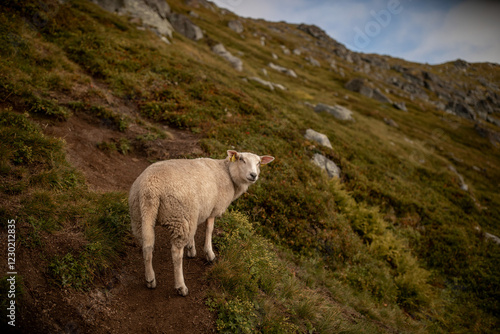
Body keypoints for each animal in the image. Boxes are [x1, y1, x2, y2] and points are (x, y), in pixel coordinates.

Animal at [128, 150, 274, 296]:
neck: (227, 172)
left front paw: (191, 248)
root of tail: (151, 188)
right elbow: (209, 229)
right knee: (176, 253)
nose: (253, 175)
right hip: (180, 215)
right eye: (241, 159)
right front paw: (209, 253)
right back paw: (181, 286)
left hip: (140, 215)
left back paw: (150, 279)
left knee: (147, 246)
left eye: (258, 163)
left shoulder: (197, 211)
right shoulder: (212, 209)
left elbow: (194, 232)